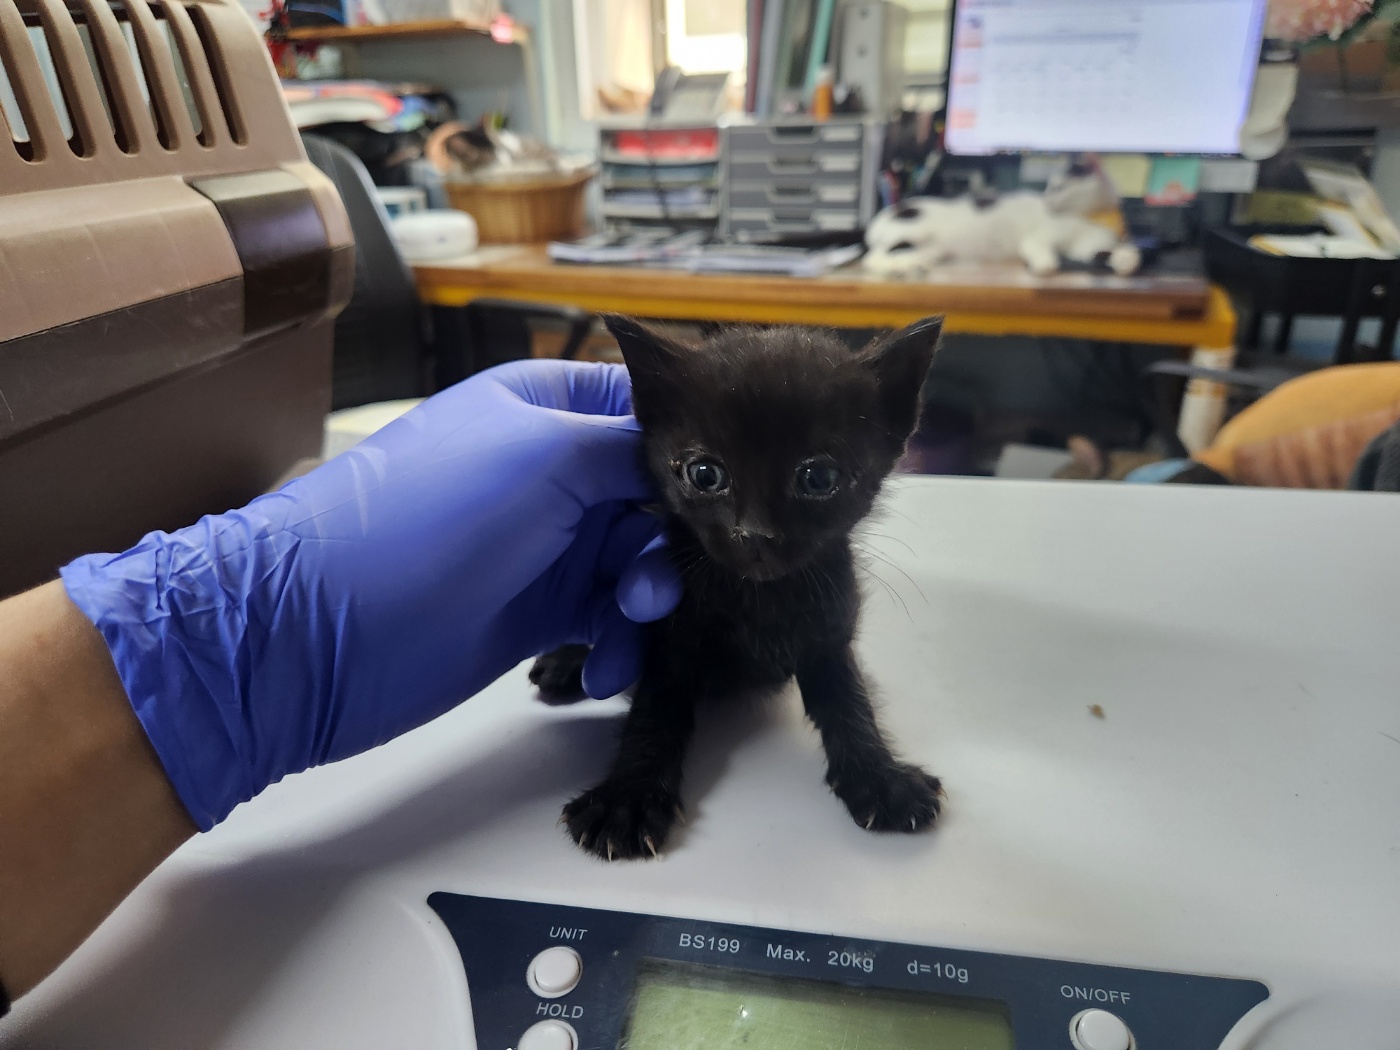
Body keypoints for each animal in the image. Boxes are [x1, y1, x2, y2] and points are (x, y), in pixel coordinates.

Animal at [529, 316, 946, 856]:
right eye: (705, 474)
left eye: (819, 478)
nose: (755, 533)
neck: (756, 597)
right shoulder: (669, 641)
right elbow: (654, 712)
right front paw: (628, 798)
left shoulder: (830, 634)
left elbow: (849, 702)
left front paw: (880, 779)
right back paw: (568, 660)